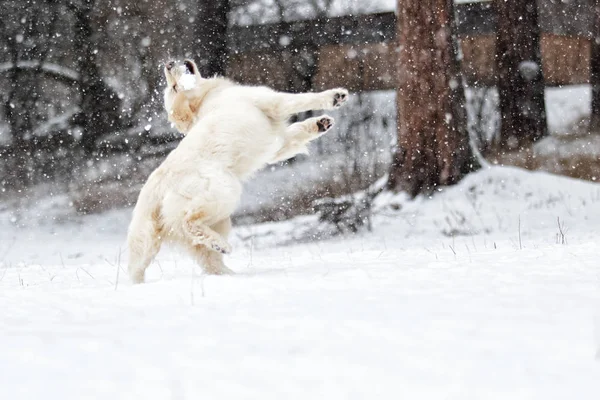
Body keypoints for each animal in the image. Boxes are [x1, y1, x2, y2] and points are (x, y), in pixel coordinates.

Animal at [129, 59, 350, 284]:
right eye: (174, 87)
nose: (168, 64)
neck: (207, 97)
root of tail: (157, 185)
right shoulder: (272, 101)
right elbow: (303, 99)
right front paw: (335, 96)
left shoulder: (277, 146)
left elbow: (296, 131)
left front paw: (320, 123)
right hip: (225, 190)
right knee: (188, 221)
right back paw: (222, 246)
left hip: (219, 219)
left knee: (210, 261)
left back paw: (229, 268)